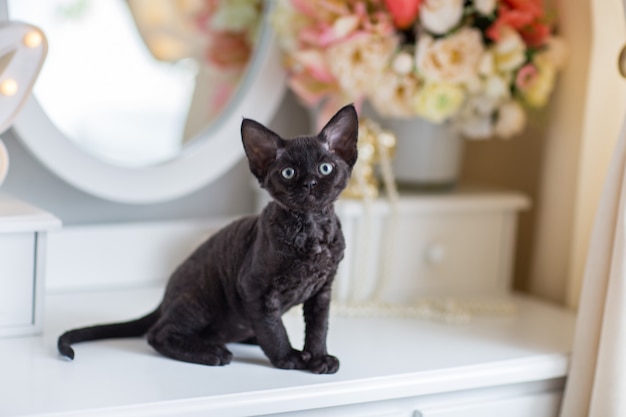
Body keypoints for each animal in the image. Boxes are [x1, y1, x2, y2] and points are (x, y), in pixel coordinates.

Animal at [56, 105, 358, 374]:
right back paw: (211, 352)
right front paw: (288, 358)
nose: (309, 183)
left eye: (325, 168)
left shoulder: (322, 292)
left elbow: (318, 328)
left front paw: (318, 358)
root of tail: (165, 298)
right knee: (158, 333)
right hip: (202, 298)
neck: (312, 231)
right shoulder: (255, 289)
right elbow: (274, 330)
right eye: (288, 173)